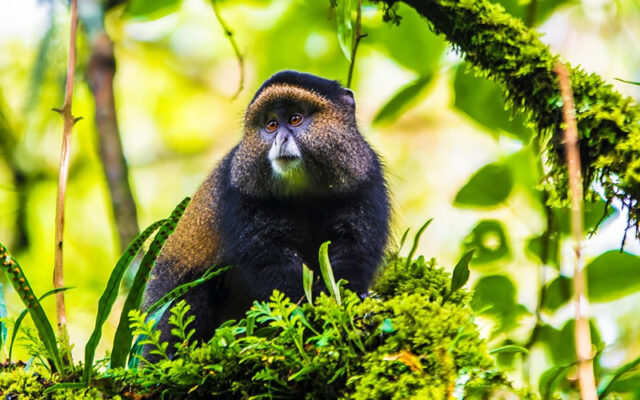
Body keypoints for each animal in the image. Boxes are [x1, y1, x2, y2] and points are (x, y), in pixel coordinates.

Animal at [142, 70, 391, 354]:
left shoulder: (365, 181)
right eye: (271, 125)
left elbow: (353, 246)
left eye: (294, 119)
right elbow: (269, 257)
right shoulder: (241, 194)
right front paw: (305, 309)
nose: (280, 139)